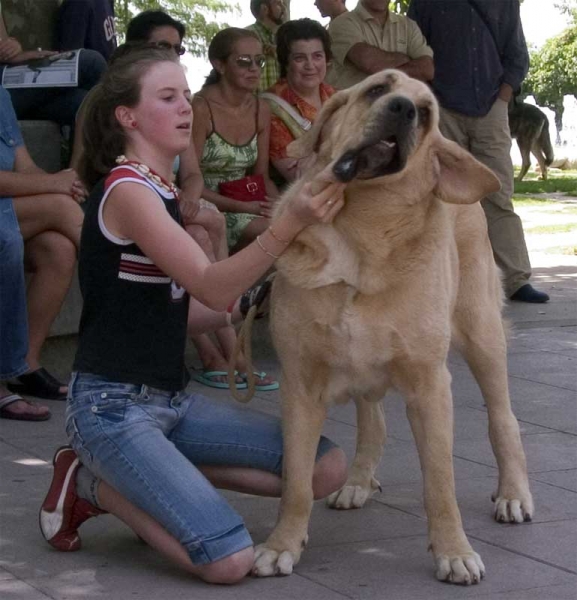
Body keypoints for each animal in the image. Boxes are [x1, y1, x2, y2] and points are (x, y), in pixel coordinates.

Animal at [254, 69, 532, 580]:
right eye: (378, 89)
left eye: (426, 113)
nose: (403, 109)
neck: (360, 238)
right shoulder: (300, 384)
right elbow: (296, 480)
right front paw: (282, 544)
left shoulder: (430, 386)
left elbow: (440, 483)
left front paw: (454, 552)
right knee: (373, 417)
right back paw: (358, 480)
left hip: (482, 336)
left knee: (503, 419)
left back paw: (513, 494)